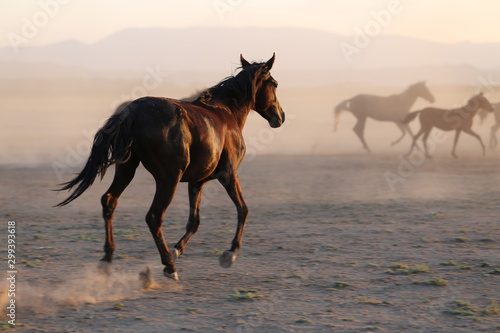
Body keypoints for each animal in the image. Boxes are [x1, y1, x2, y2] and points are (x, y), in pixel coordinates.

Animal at [56, 54, 284, 280]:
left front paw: (178, 249)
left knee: (109, 200)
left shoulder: (197, 182)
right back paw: (169, 265)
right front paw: (230, 253)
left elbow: (194, 221)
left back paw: (108, 257)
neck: (226, 113)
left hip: (127, 170)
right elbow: (243, 209)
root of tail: (131, 112)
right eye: (274, 84)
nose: (280, 116)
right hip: (169, 179)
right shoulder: (228, 174)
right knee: (154, 217)